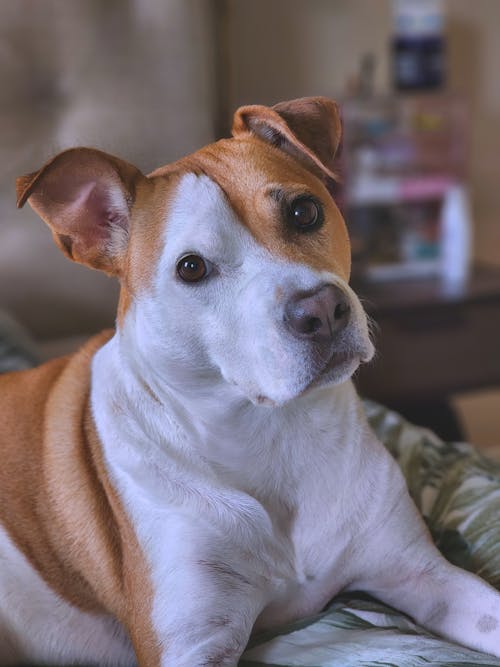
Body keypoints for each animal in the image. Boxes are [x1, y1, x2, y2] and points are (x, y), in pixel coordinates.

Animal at [0, 96, 500, 664]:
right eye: (191, 268)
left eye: (305, 211)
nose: (322, 311)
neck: (271, 433)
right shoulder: (192, 642)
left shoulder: (424, 575)